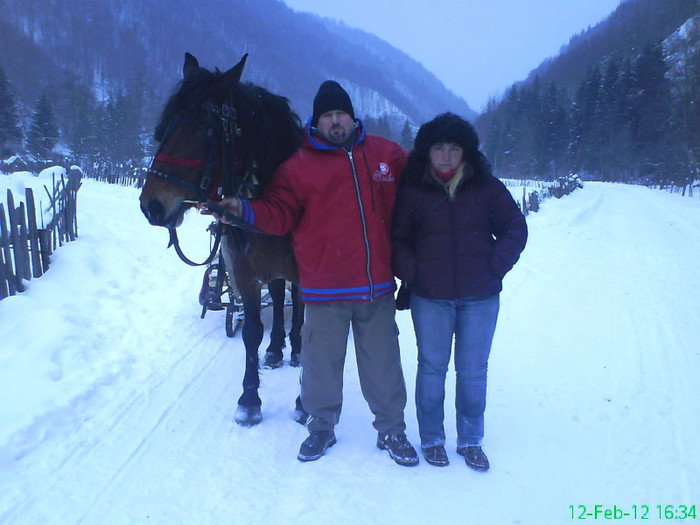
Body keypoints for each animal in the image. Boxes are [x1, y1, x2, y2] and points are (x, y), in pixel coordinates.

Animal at [139, 52, 306, 426]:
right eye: (165, 124)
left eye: (206, 126)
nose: (151, 205)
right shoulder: (243, 271)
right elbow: (252, 330)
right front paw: (249, 400)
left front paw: (304, 401)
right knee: (277, 295)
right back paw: (275, 349)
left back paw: (294, 349)